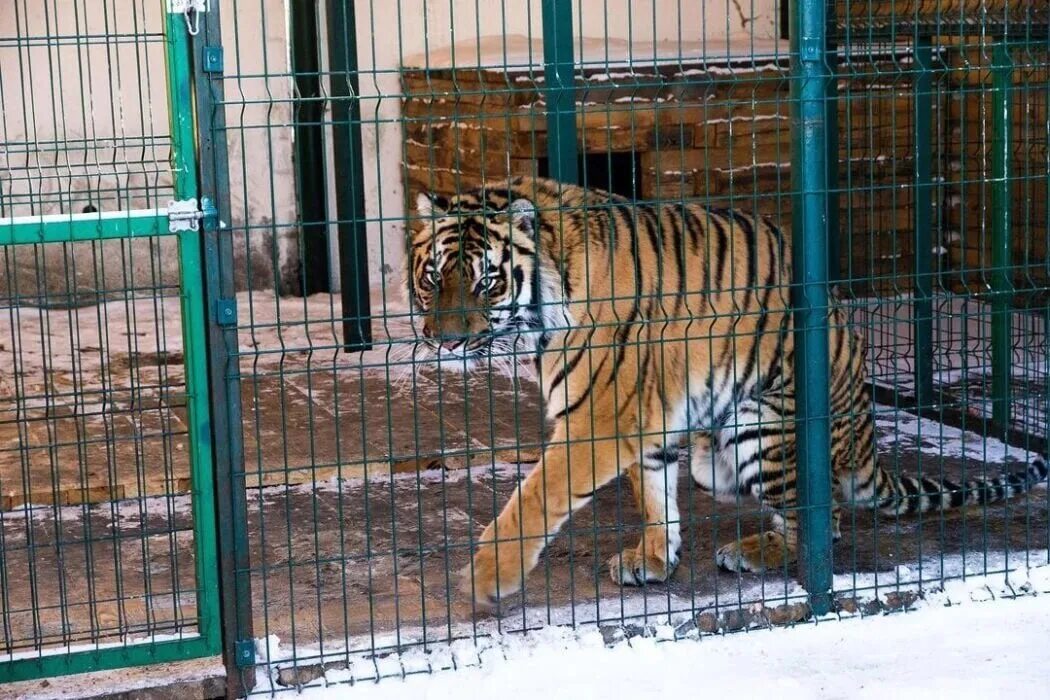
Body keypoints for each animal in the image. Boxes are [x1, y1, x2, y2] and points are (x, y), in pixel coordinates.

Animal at [403, 178, 1050, 608]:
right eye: (433, 277)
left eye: (487, 281)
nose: (446, 340)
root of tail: (866, 436)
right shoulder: (647, 419)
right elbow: (654, 495)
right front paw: (654, 558)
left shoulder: (599, 420)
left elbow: (536, 498)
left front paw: (486, 575)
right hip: (713, 455)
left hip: (758, 425)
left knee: (823, 524)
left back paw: (754, 551)